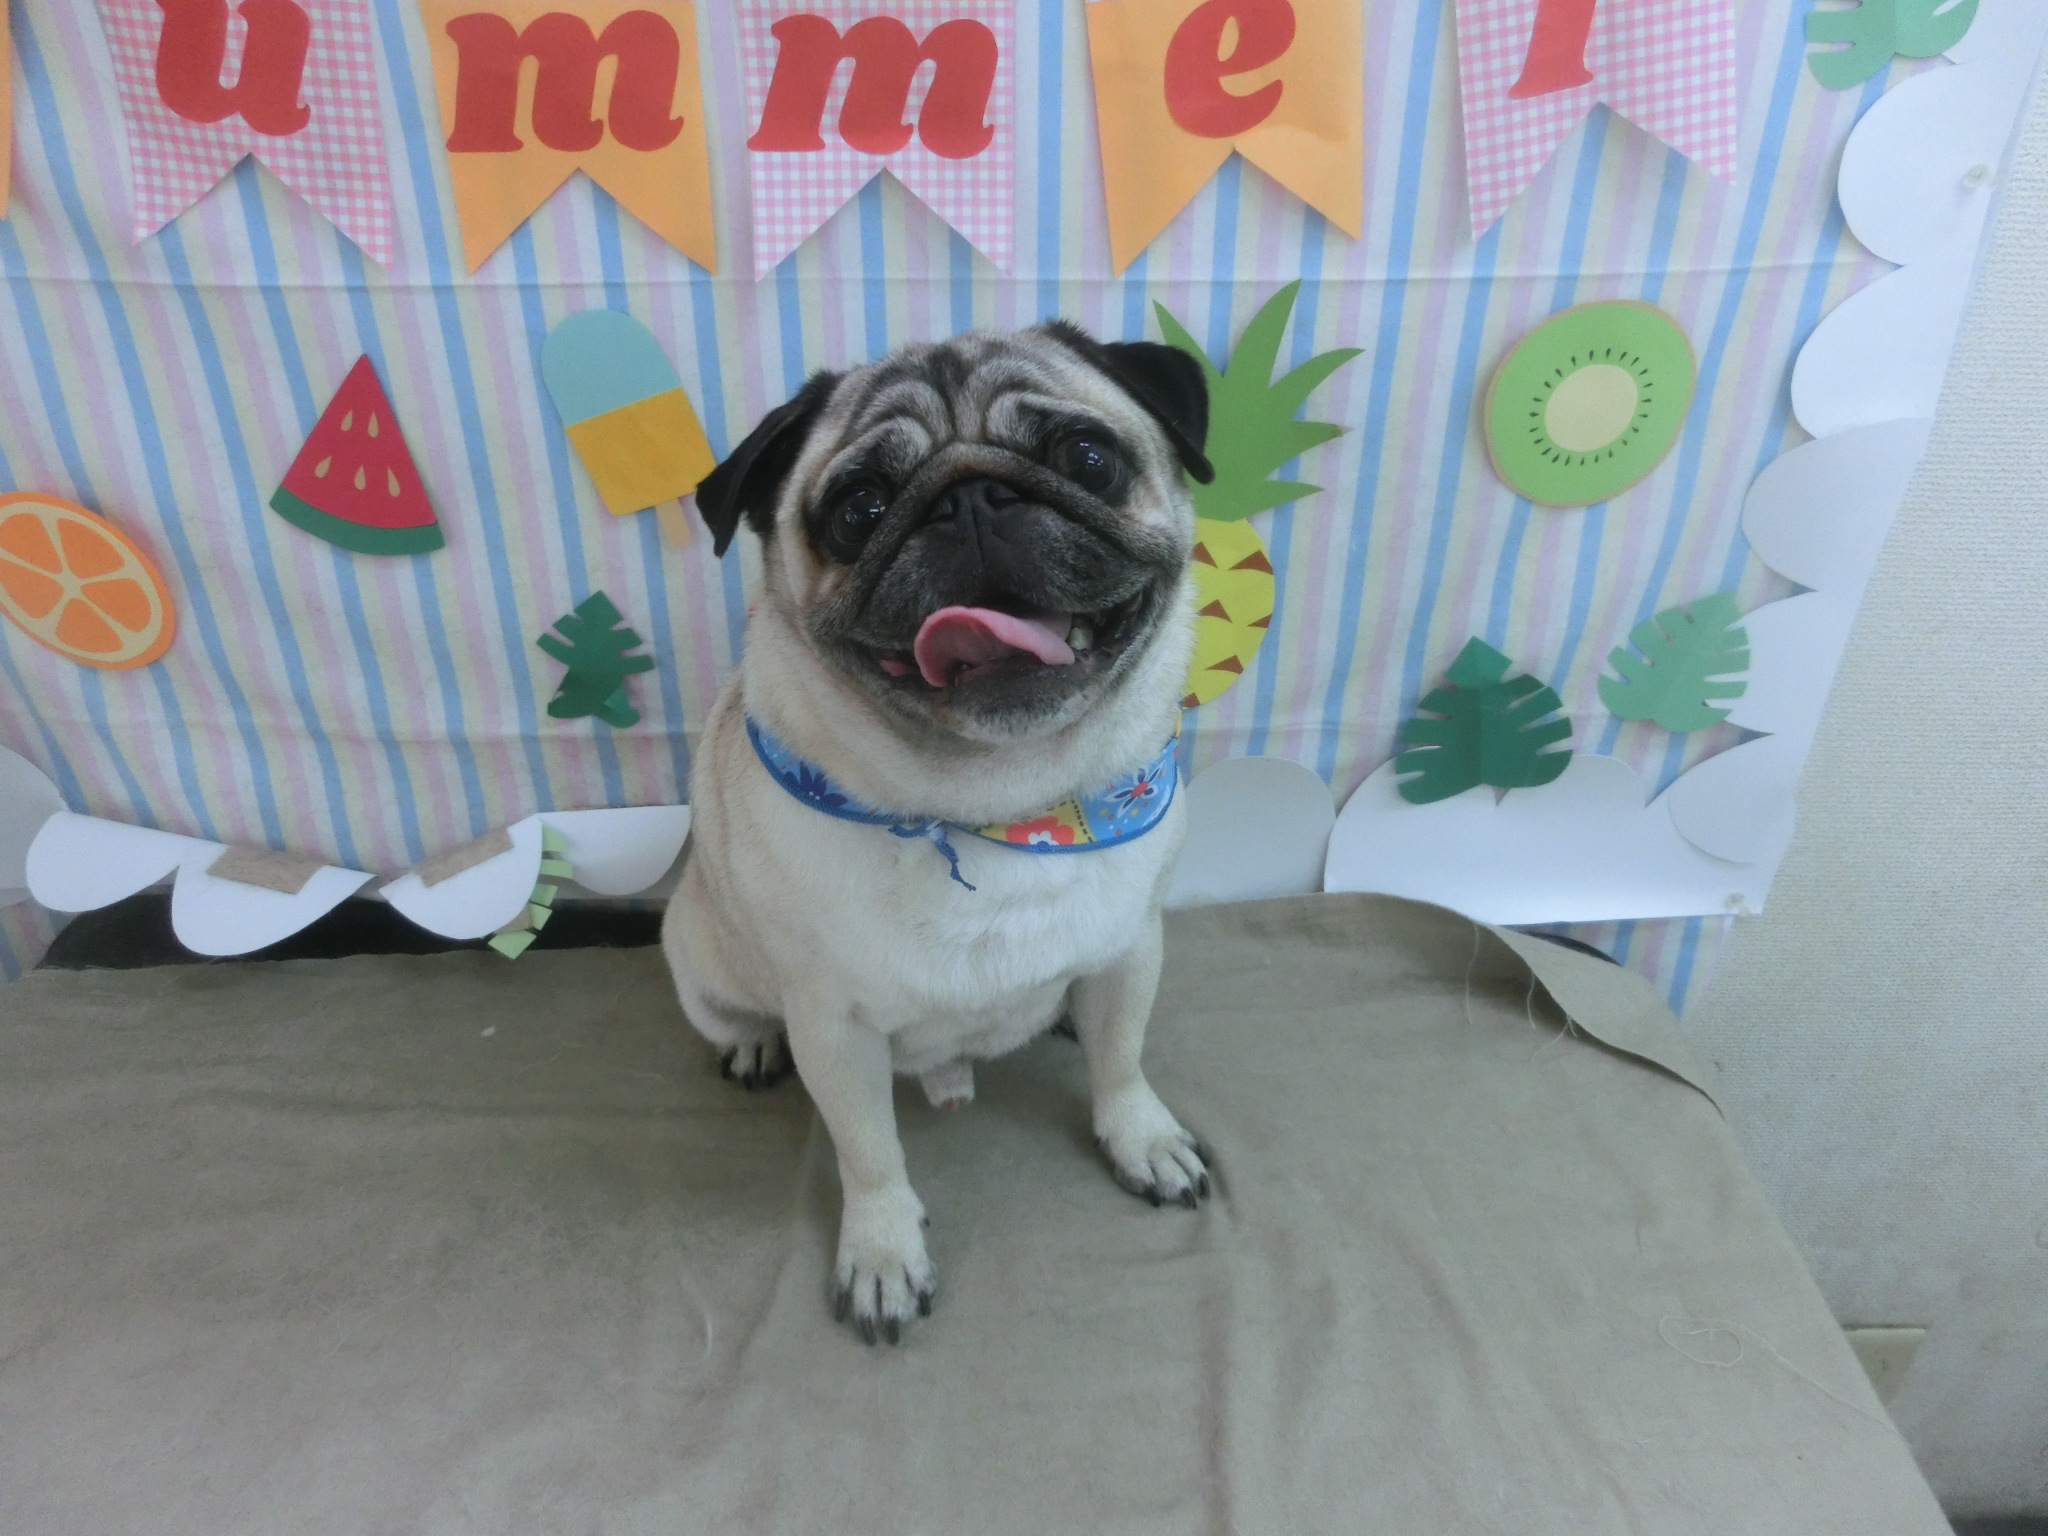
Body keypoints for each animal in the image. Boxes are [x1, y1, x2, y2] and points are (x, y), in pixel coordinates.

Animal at [661, 322, 1215, 1343]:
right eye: (859, 508)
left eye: (1088, 459)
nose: (971, 500)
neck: (999, 805)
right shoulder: (832, 1028)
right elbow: (869, 1152)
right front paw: (883, 1254)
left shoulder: (1132, 949)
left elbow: (1123, 1063)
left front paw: (1142, 1139)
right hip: (701, 957)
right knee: (739, 1013)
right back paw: (752, 1045)